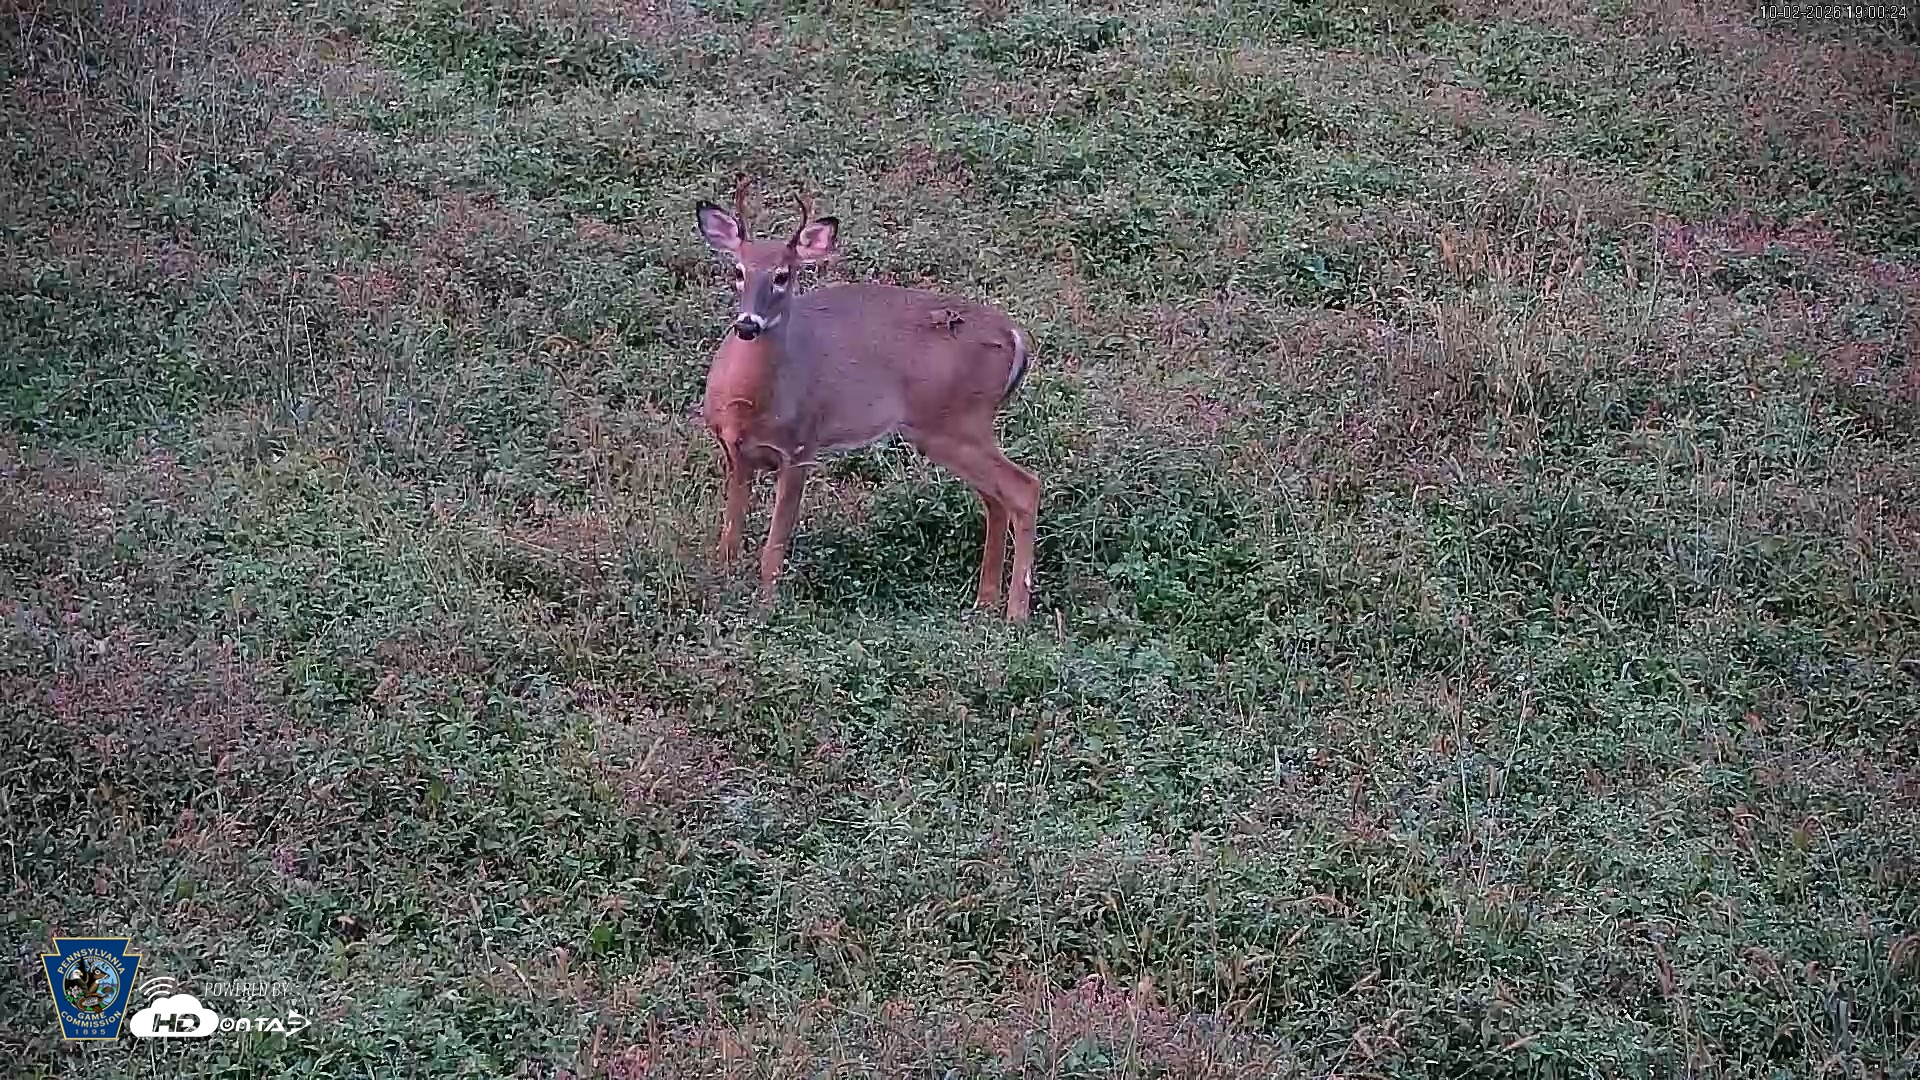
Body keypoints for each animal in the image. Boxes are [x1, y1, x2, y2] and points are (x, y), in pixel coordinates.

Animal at [694, 178, 1041, 622]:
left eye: (783, 276)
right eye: (738, 271)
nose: (747, 324)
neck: (750, 403)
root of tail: (1014, 336)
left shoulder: (802, 446)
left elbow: (775, 543)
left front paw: (766, 608)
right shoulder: (733, 450)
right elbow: (730, 533)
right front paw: (723, 587)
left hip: (959, 421)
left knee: (1024, 487)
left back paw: (1015, 613)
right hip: (951, 431)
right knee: (995, 498)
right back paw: (984, 603)